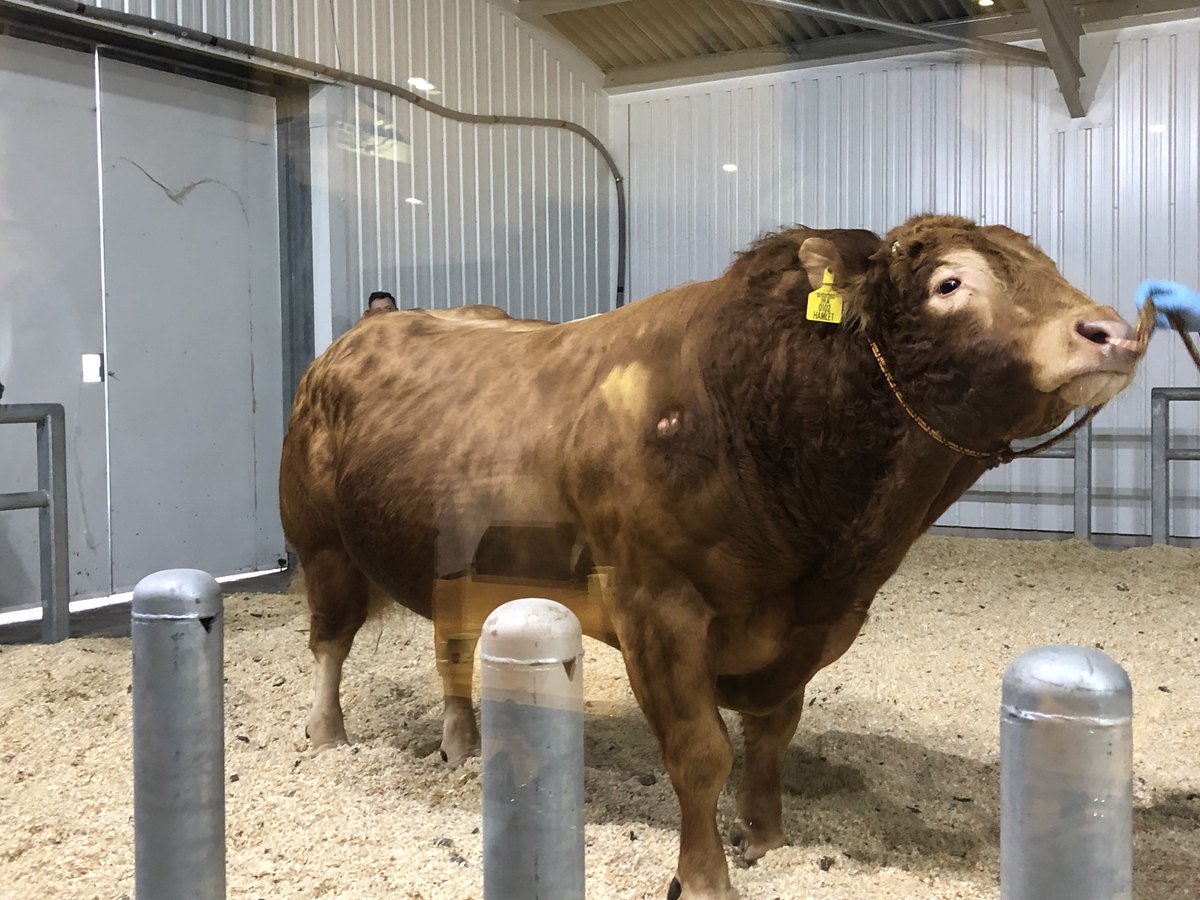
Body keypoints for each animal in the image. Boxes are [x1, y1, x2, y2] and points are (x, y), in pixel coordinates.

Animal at [279, 215, 1140, 899]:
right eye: (950, 281)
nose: (1112, 331)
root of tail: (353, 340)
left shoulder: (807, 628)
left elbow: (771, 737)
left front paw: (768, 839)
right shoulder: (656, 606)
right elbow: (700, 752)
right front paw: (704, 878)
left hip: (456, 565)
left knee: (451, 648)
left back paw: (464, 744)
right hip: (321, 542)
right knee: (330, 639)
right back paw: (328, 735)